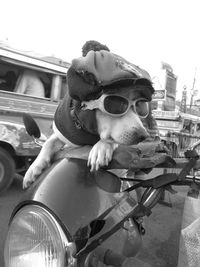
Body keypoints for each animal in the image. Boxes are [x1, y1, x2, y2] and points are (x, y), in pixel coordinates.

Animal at [23, 49, 155, 189]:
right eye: (116, 103)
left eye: (140, 105)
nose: (143, 135)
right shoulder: (62, 134)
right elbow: (48, 143)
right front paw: (33, 169)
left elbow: (110, 140)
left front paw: (101, 148)